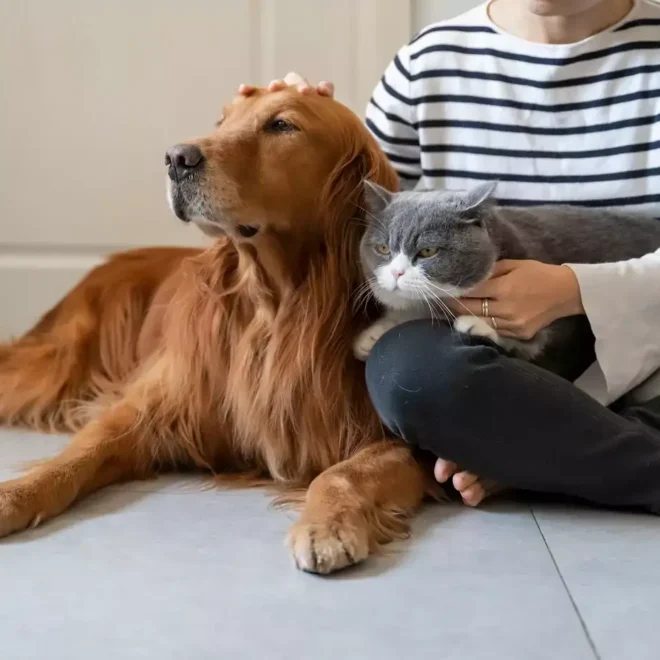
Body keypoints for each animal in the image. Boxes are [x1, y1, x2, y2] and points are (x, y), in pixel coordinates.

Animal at [0, 86, 428, 572]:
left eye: (282, 124)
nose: (175, 157)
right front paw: (14, 495)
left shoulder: (395, 443)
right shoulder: (148, 408)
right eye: (222, 121)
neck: (274, 306)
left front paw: (327, 524)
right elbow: (74, 458)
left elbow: (343, 474)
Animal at [356, 179, 660, 376]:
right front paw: (372, 334)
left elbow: (530, 341)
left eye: (427, 251)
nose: (396, 272)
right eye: (383, 249)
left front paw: (476, 323)